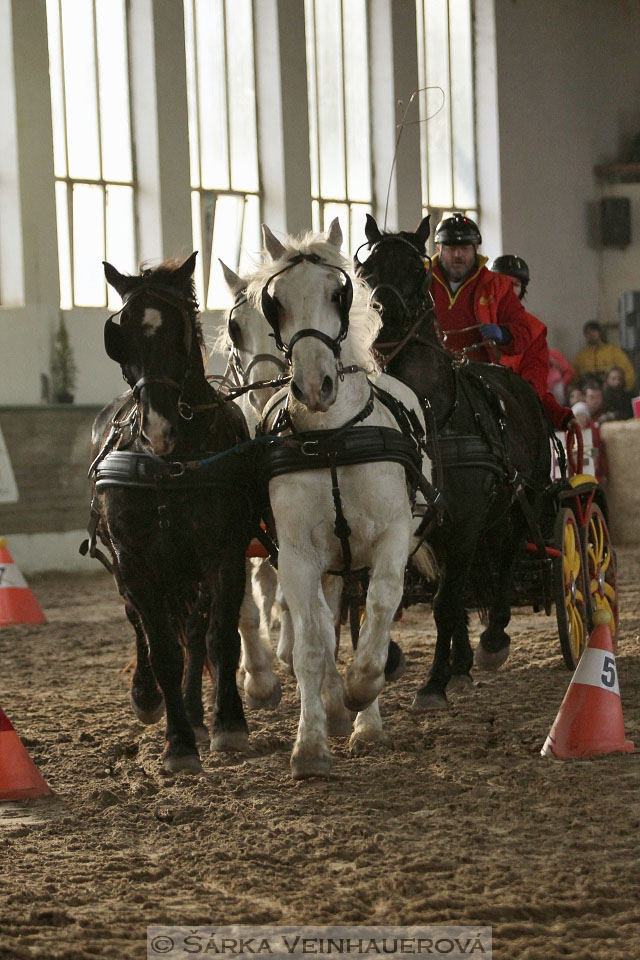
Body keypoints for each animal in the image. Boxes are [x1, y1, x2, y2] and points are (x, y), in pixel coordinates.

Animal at [86, 253, 262, 772]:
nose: (159, 428)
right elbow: (162, 647)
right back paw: (149, 697)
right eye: (120, 330)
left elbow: (219, 637)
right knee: (141, 623)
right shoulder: (134, 561)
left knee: (196, 630)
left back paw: (197, 713)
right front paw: (178, 742)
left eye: (178, 328)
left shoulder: (223, 553)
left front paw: (227, 724)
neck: (170, 464)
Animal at [249, 219, 424, 780]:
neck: (333, 437)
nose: (313, 386)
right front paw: (310, 746)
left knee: (364, 618)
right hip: (328, 563)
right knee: (326, 627)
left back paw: (362, 716)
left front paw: (363, 690)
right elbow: (310, 645)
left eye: (338, 292)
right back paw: (332, 703)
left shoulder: (392, 538)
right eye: (276, 302)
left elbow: (380, 613)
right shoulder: (298, 555)